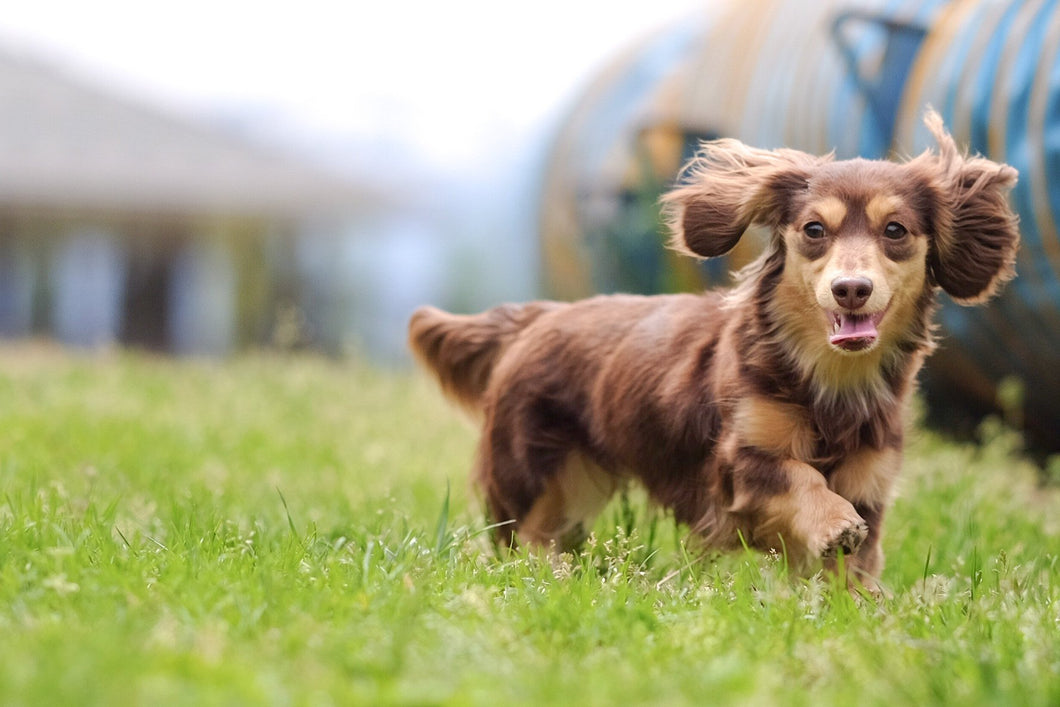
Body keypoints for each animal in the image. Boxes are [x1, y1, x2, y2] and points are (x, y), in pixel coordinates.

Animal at [404, 109, 1017, 585]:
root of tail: (536, 318)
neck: (828, 379)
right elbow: (799, 478)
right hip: (532, 474)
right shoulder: (739, 461)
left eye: (895, 231)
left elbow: (853, 568)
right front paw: (834, 523)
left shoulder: (871, 477)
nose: (851, 288)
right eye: (814, 230)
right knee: (521, 537)